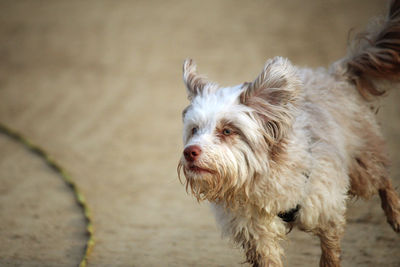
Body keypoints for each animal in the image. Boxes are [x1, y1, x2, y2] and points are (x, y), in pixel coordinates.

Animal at [177, 1, 400, 266]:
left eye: (228, 130)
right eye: (194, 130)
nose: (190, 152)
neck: (261, 180)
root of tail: (337, 73)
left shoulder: (327, 208)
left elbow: (330, 250)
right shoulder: (256, 233)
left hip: (362, 164)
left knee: (383, 178)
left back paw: (396, 214)